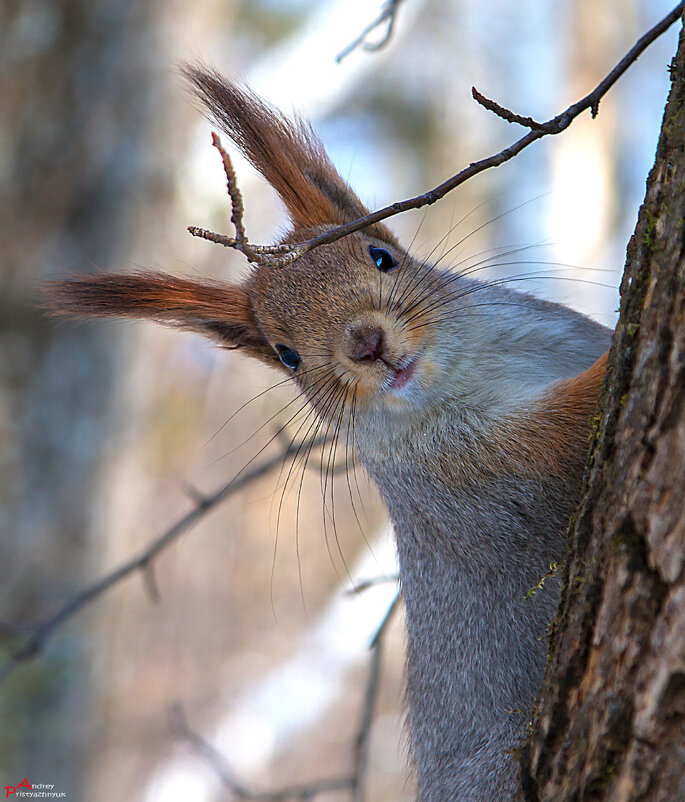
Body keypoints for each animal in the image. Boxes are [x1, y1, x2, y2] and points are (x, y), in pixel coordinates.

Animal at [48, 69, 612, 800]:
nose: (365, 343)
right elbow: (561, 434)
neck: (470, 370)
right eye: (286, 355)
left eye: (382, 255)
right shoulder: (478, 478)